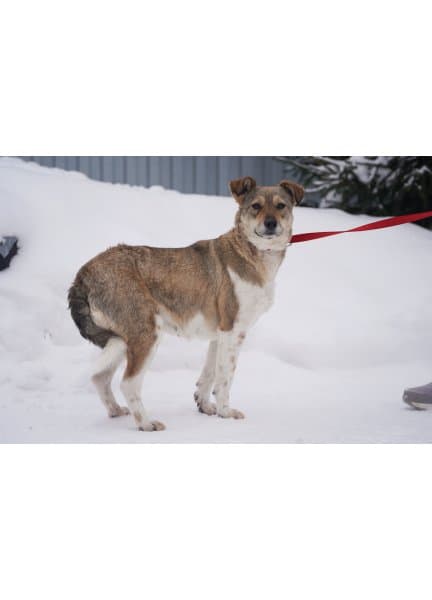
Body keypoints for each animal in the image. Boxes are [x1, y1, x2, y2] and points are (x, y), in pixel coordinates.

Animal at [68, 177, 304, 431]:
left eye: (281, 206)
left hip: (122, 339)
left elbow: (209, 375)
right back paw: (146, 424)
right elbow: (225, 378)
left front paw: (206, 407)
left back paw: (115, 411)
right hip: (145, 334)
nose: (270, 223)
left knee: (100, 377)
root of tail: (85, 272)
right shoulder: (233, 331)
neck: (252, 251)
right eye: (256, 206)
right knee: (128, 383)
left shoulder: (219, 335)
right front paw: (225, 412)